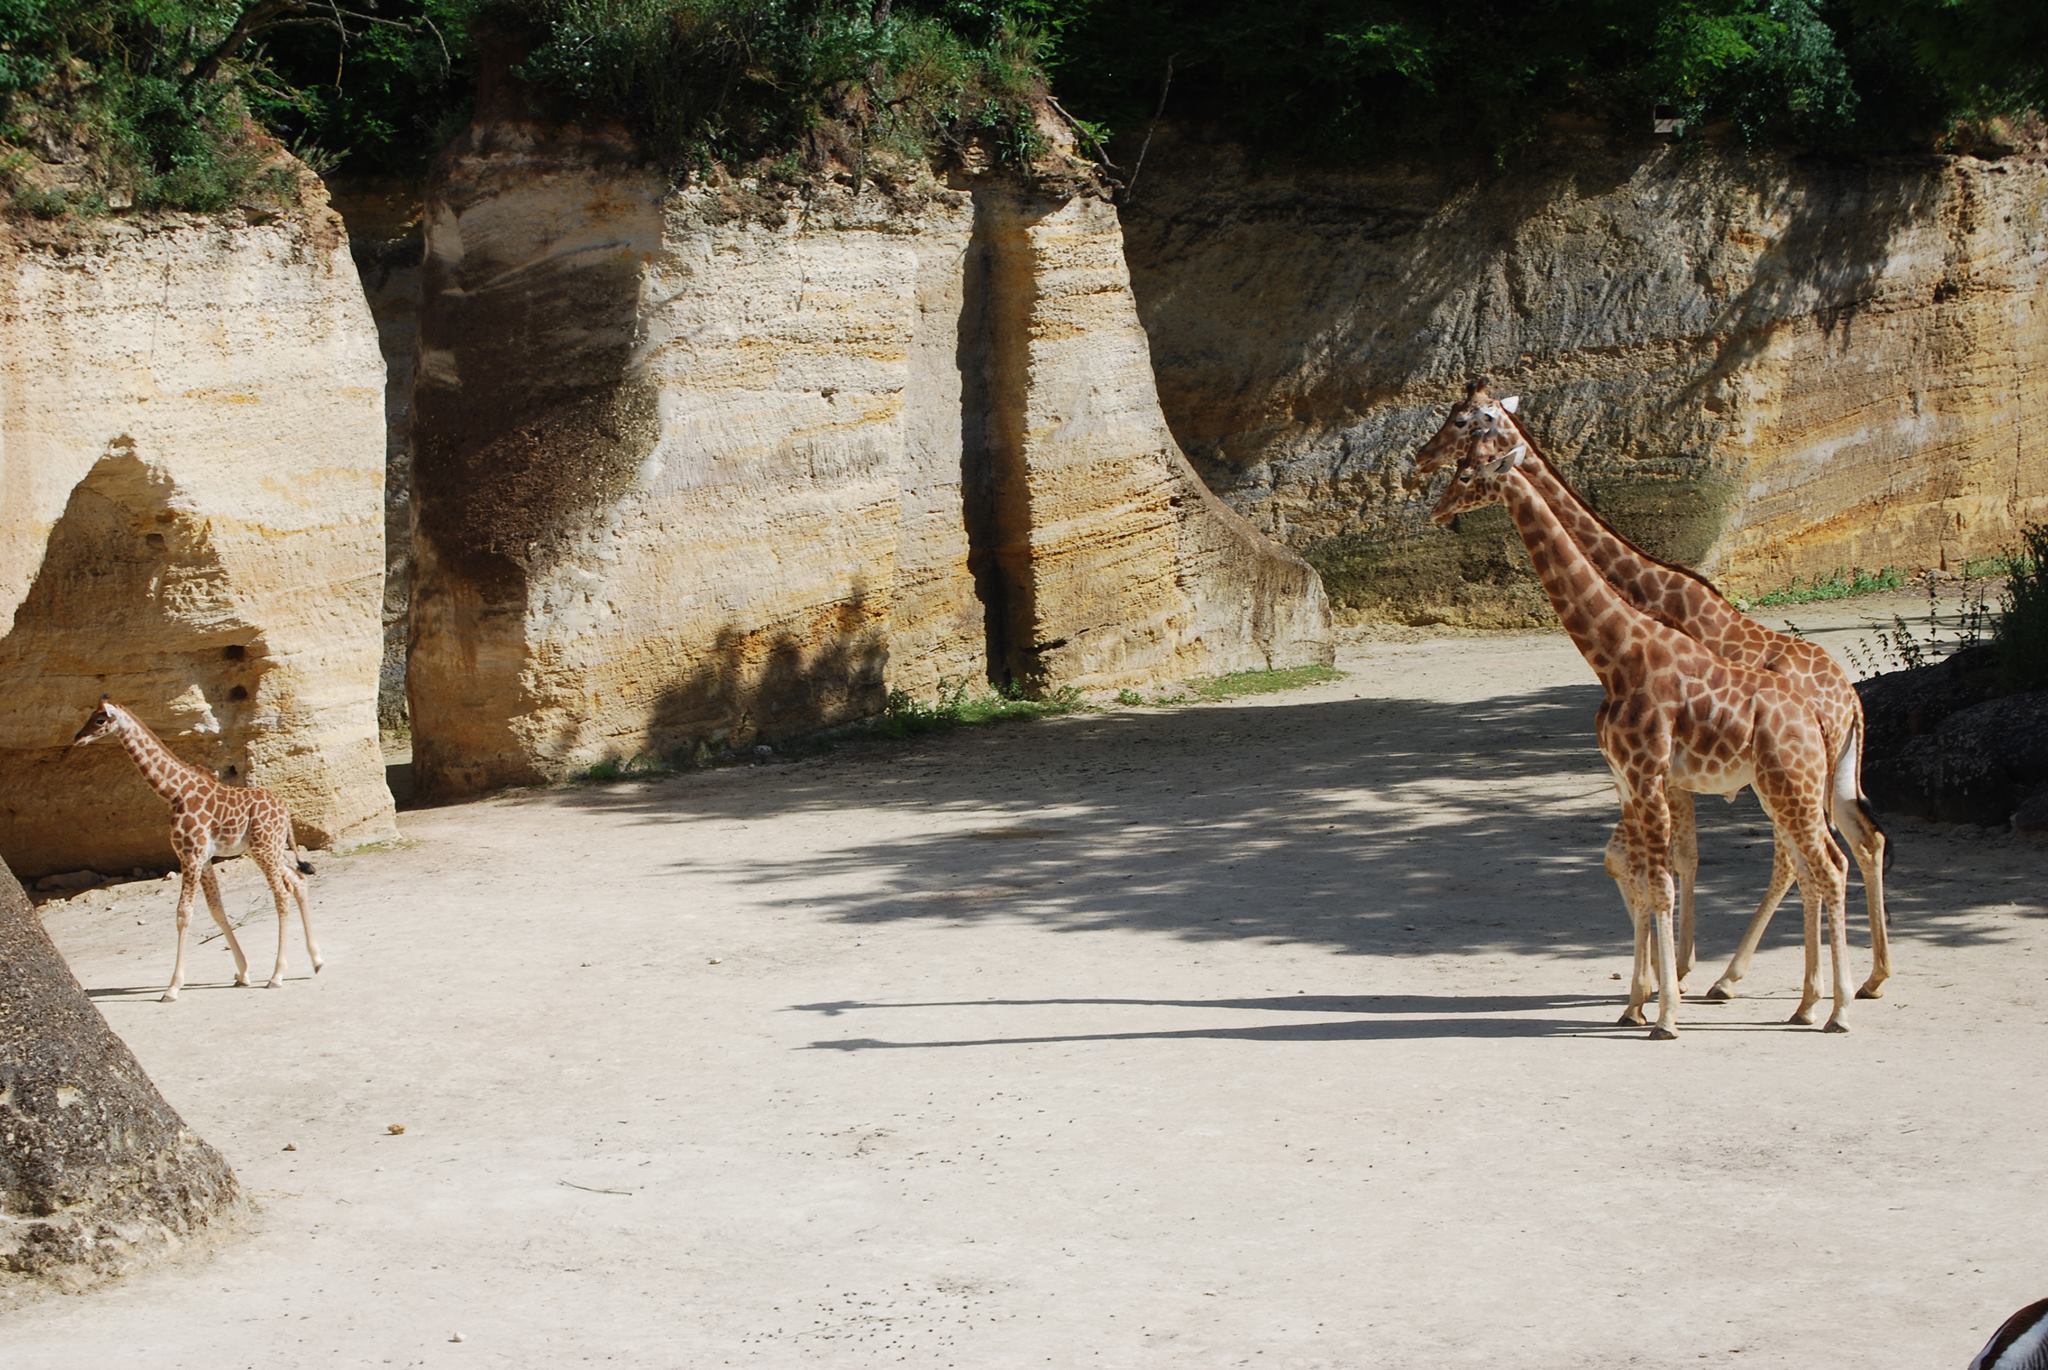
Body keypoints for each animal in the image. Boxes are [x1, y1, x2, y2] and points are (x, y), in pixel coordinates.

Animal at [74, 700, 321, 999]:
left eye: (99, 720)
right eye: (90, 716)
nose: (78, 738)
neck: (173, 793)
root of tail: (286, 813)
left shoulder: (190, 855)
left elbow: (184, 913)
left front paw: (172, 987)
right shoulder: (203, 858)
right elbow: (216, 909)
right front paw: (243, 972)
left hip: (264, 850)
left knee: (282, 895)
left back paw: (277, 975)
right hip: (267, 849)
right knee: (298, 882)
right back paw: (316, 961)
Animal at [1417, 378, 1875, 999]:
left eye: (1464, 424)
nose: (1421, 465)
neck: (1646, 597)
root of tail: (1848, 700)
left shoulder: (1662, 772)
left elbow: (1679, 859)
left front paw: (1671, 974)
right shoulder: (1643, 774)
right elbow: (1644, 860)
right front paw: (1662, 977)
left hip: (1788, 779)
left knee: (1801, 859)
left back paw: (1759, 984)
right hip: (1829, 773)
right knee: (1860, 840)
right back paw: (1858, 982)